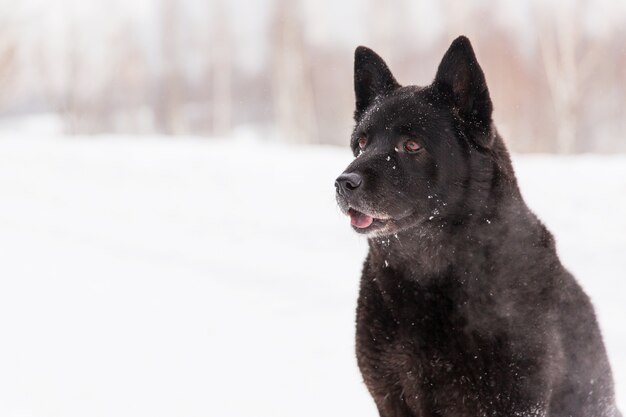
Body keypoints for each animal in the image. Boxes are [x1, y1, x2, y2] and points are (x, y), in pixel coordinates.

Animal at [334, 36, 616, 416]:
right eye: (361, 144)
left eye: (411, 145)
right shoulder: (391, 396)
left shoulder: (513, 400)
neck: (430, 274)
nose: (343, 182)